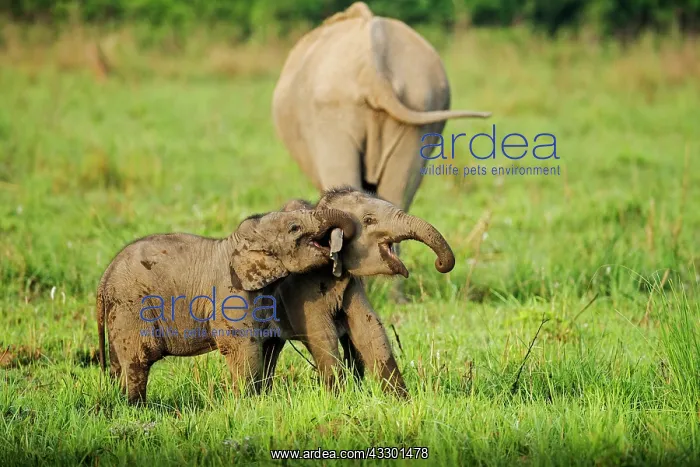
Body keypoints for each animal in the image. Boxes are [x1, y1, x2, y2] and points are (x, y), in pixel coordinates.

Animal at [96, 208, 355, 404]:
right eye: (294, 228)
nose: (336, 249)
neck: (238, 243)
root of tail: (104, 277)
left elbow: (269, 345)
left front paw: (261, 400)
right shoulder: (230, 294)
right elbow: (243, 346)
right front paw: (247, 405)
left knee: (119, 363)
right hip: (132, 306)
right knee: (138, 360)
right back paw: (138, 408)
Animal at [258, 186, 455, 398]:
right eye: (368, 220)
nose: (439, 263)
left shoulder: (352, 284)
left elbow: (368, 328)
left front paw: (401, 400)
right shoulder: (300, 289)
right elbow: (321, 334)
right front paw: (338, 398)